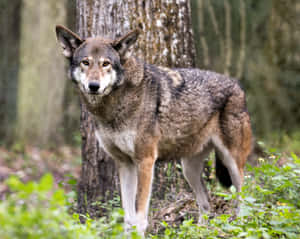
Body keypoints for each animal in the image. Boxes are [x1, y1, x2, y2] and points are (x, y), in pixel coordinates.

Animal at [55, 25, 251, 234]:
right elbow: (128, 218)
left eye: (105, 64)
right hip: (189, 169)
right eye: (85, 62)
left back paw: (242, 226)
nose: (93, 86)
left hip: (232, 163)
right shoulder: (125, 163)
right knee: (206, 205)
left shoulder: (146, 160)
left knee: (245, 197)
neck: (114, 106)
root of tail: (238, 85)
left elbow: (140, 217)